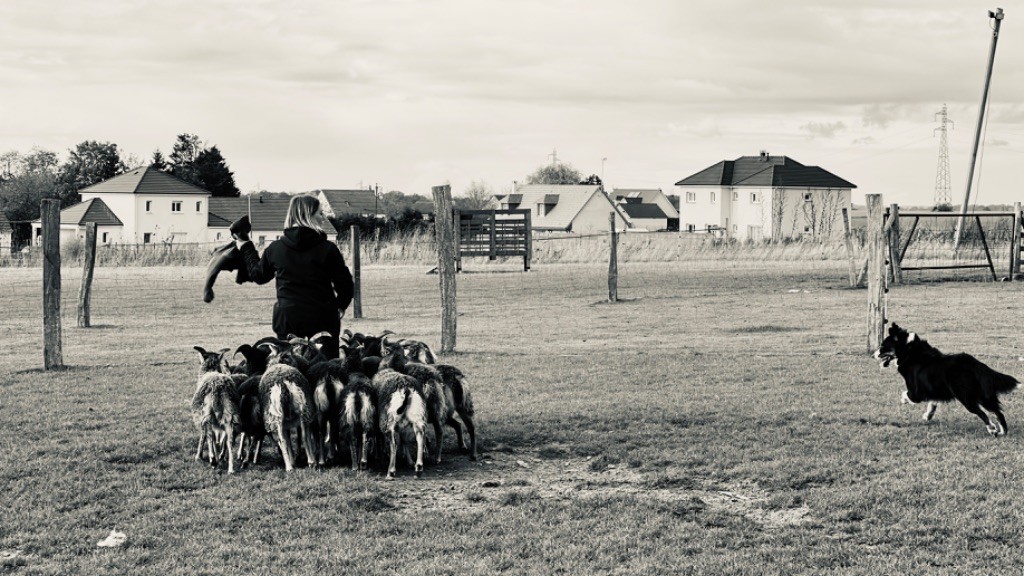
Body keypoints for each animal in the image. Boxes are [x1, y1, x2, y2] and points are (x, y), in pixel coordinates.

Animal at [872, 323, 1015, 434]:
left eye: (883, 346)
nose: (873, 356)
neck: (908, 350)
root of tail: (973, 363)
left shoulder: (916, 393)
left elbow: (905, 394)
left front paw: (904, 401)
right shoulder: (934, 390)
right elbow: (933, 403)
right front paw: (928, 415)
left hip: (966, 397)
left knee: (982, 413)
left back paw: (992, 428)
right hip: (983, 394)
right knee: (998, 412)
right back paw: (1003, 432)